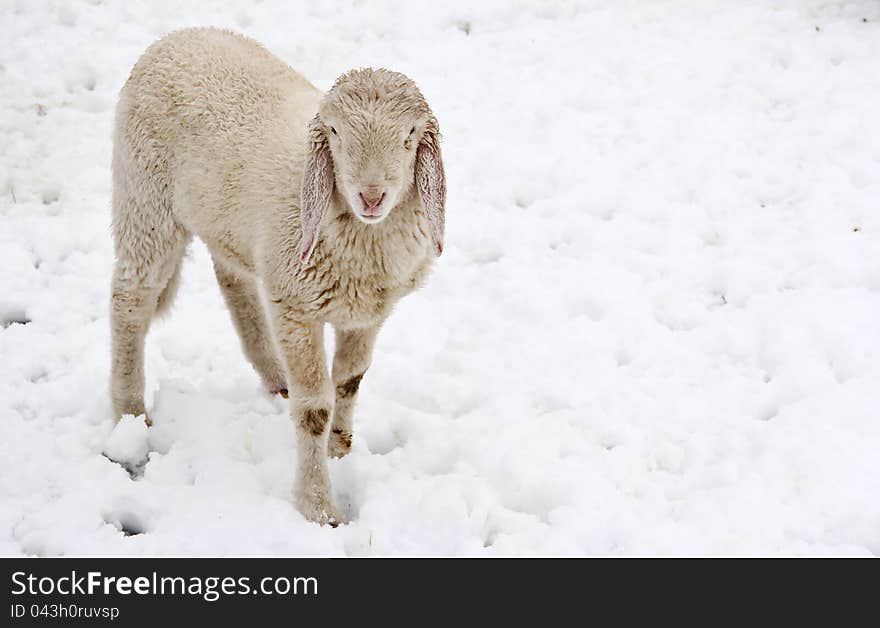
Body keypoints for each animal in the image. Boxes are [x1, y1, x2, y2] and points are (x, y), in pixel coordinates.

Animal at [110, 28, 446, 524]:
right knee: (130, 301)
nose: (371, 196)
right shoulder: (296, 307)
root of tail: (177, 36)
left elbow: (349, 381)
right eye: (336, 134)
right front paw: (319, 506)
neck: (361, 238)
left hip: (226, 225)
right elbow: (315, 408)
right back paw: (128, 417)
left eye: (410, 136)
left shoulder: (367, 313)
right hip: (144, 199)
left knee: (235, 283)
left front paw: (340, 449)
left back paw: (275, 377)